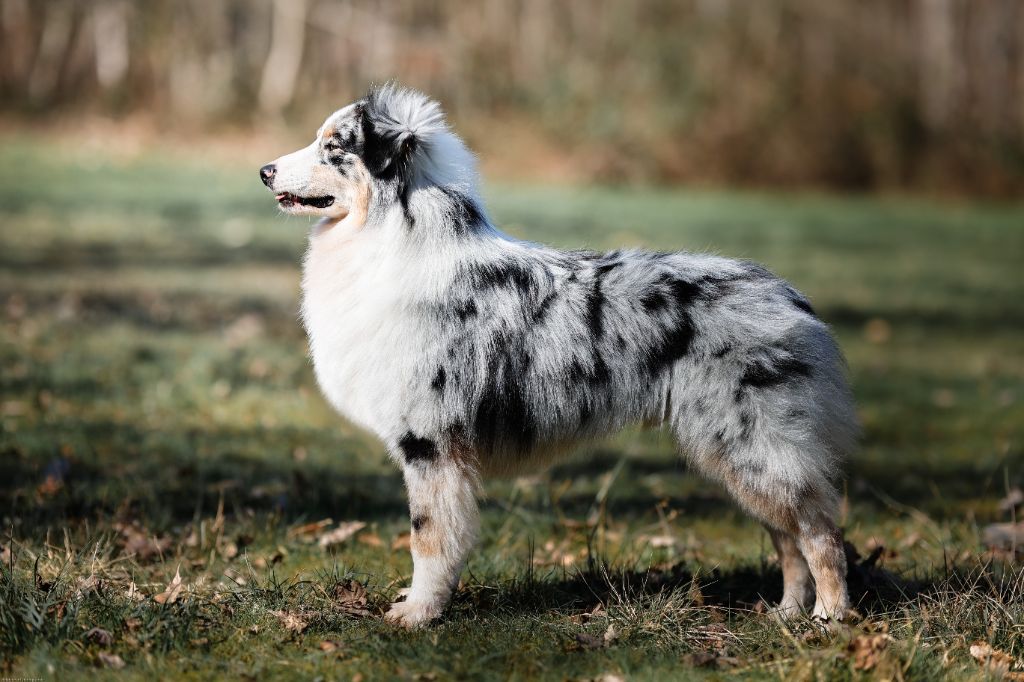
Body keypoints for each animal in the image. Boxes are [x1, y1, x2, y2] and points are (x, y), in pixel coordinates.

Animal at [256, 84, 856, 626]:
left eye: (333, 146)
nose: (263, 171)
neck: (390, 239)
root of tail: (789, 296)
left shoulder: (429, 444)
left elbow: (430, 539)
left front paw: (419, 614)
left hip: (759, 446)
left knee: (820, 533)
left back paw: (828, 619)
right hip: (741, 454)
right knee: (787, 537)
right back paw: (786, 614)